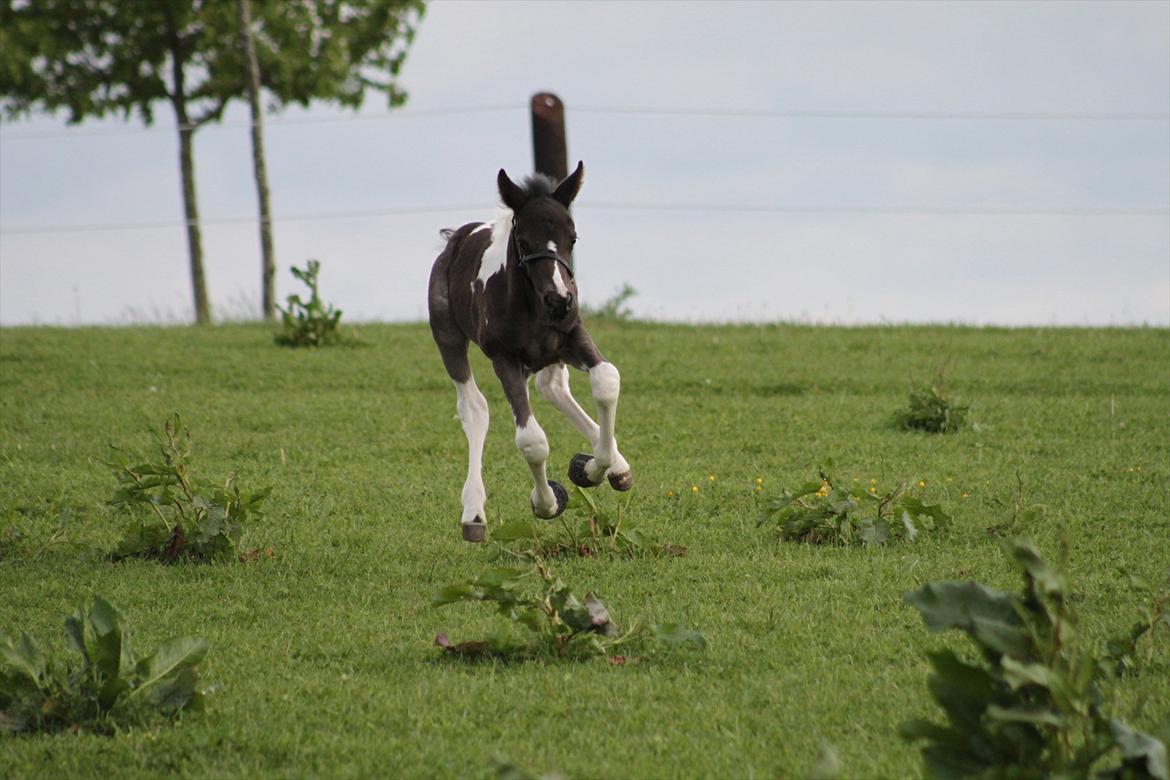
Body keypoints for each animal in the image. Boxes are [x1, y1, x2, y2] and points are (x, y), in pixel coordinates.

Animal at [428, 163, 631, 542]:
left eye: (573, 238)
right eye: (523, 242)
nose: (559, 300)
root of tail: (455, 239)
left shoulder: (572, 334)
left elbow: (607, 380)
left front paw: (593, 468)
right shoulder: (504, 358)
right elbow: (532, 439)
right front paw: (547, 502)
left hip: (549, 356)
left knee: (552, 388)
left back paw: (617, 464)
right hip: (448, 337)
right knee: (474, 407)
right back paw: (473, 513)